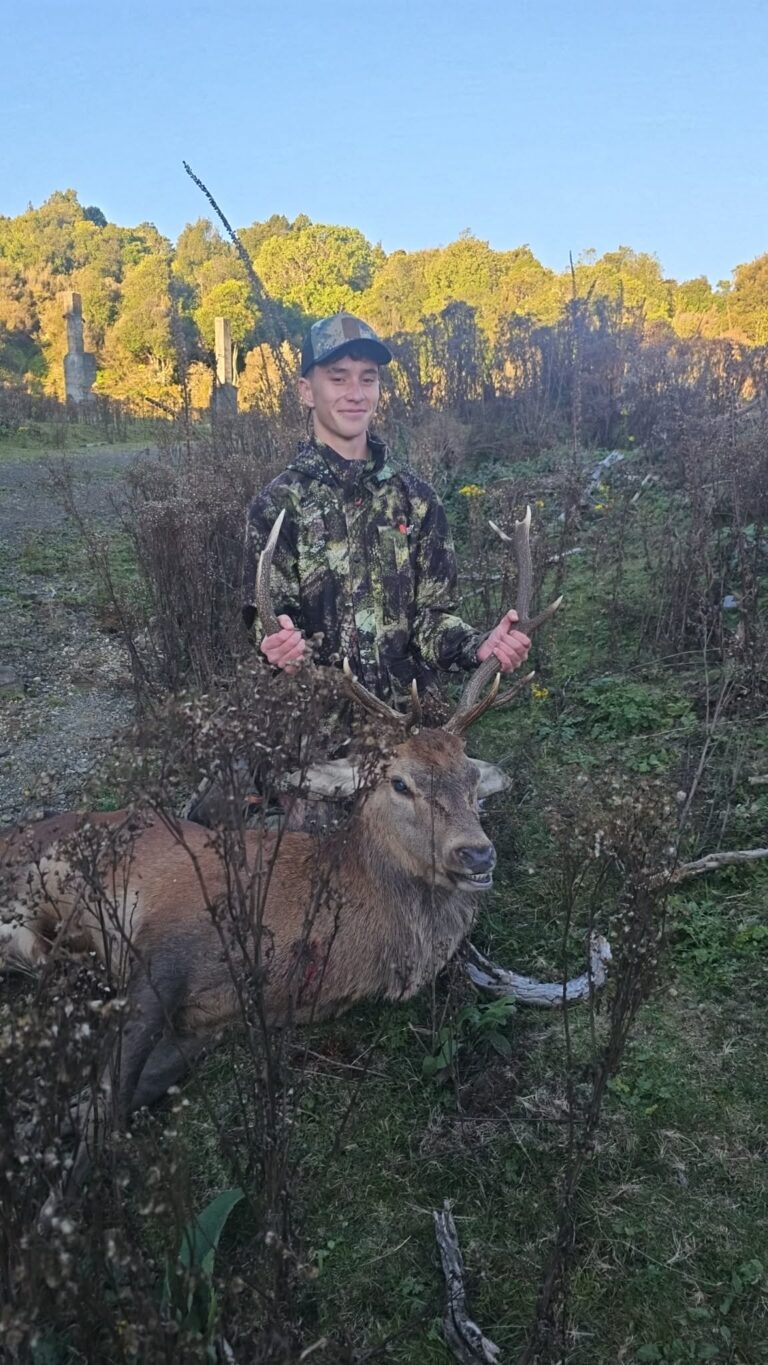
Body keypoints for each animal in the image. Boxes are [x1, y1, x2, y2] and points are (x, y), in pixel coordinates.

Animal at [1, 506, 565, 1208]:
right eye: (400, 782)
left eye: (469, 780)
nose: (477, 854)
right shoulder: (162, 948)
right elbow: (105, 1109)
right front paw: (54, 1205)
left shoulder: (212, 1023)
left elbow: (120, 1099)